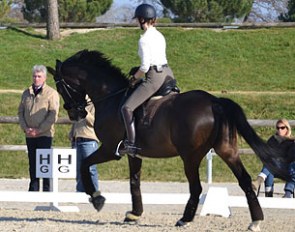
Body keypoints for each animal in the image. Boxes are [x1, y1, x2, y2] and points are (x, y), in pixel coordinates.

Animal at [48, 49, 290, 230]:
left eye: (60, 86)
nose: (75, 114)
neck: (111, 97)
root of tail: (214, 102)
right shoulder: (133, 152)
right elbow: (134, 181)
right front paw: (134, 214)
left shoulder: (109, 149)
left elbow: (84, 165)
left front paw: (97, 199)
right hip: (226, 150)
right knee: (244, 180)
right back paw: (256, 220)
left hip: (190, 156)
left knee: (196, 187)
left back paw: (185, 219)